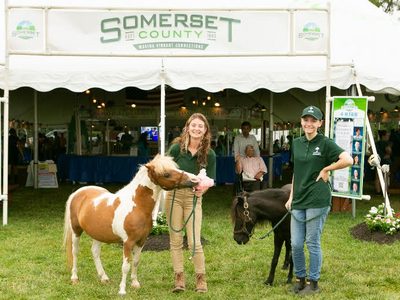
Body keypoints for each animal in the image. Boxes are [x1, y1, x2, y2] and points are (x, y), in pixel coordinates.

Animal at [62, 155, 198, 296]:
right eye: (166, 174)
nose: (194, 180)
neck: (137, 205)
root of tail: (78, 192)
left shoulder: (141, 241)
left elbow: (136, 262)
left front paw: (135, 284)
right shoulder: (128, 242)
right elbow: (125, 266)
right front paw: (122, 290)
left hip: (99, 234)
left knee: (95, 252)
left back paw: (104, 278)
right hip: (76, 231)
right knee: (75, 251)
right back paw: (74, 277)